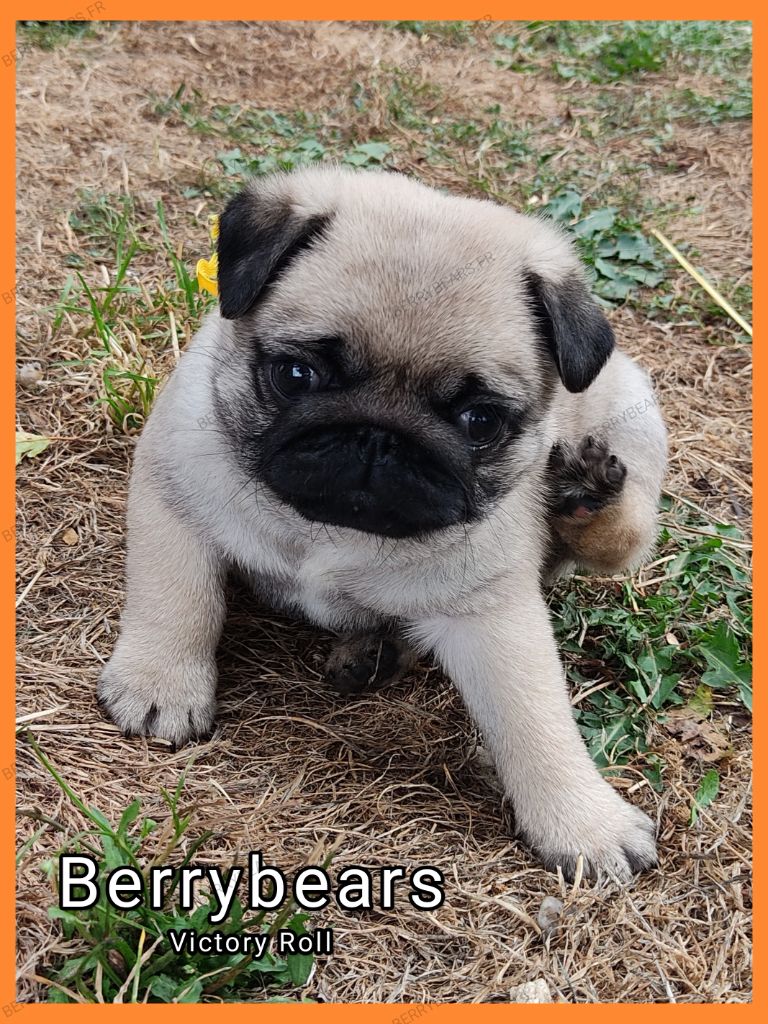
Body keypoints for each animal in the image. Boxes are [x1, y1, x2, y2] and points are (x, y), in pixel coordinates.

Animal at [100, 165, 667, 880]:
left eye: (480, 420)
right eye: (296, 374)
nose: (379, 437)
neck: (329, 532)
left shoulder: (493, 613)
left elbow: (534, 720)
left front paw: (584, 822)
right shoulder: (175, 492)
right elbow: (176, 600)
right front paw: (160, 683)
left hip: (633, 420)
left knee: (625, 535)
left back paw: (586, 499)